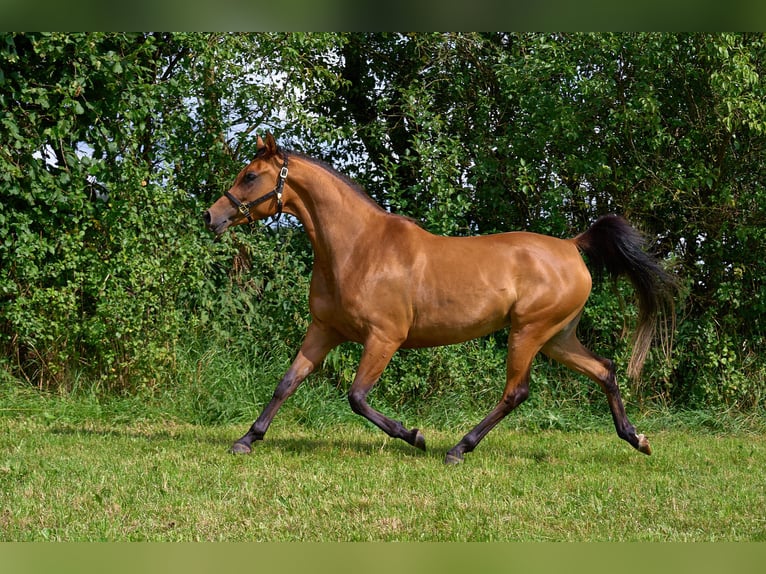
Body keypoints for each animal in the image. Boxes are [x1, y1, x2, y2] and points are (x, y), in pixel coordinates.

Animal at [203, 133, 677, 464]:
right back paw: (636, 438)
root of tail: (571, 246)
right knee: (604, 370)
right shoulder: (324, 330)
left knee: (516, 392)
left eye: (249, 176)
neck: (358, 248)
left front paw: (414, 436)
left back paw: (458, 449)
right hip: (557, 338)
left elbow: (357, 397)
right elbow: (287, 382)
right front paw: (246, 439)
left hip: (529, 331)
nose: (211, 216)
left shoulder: (384, 337)